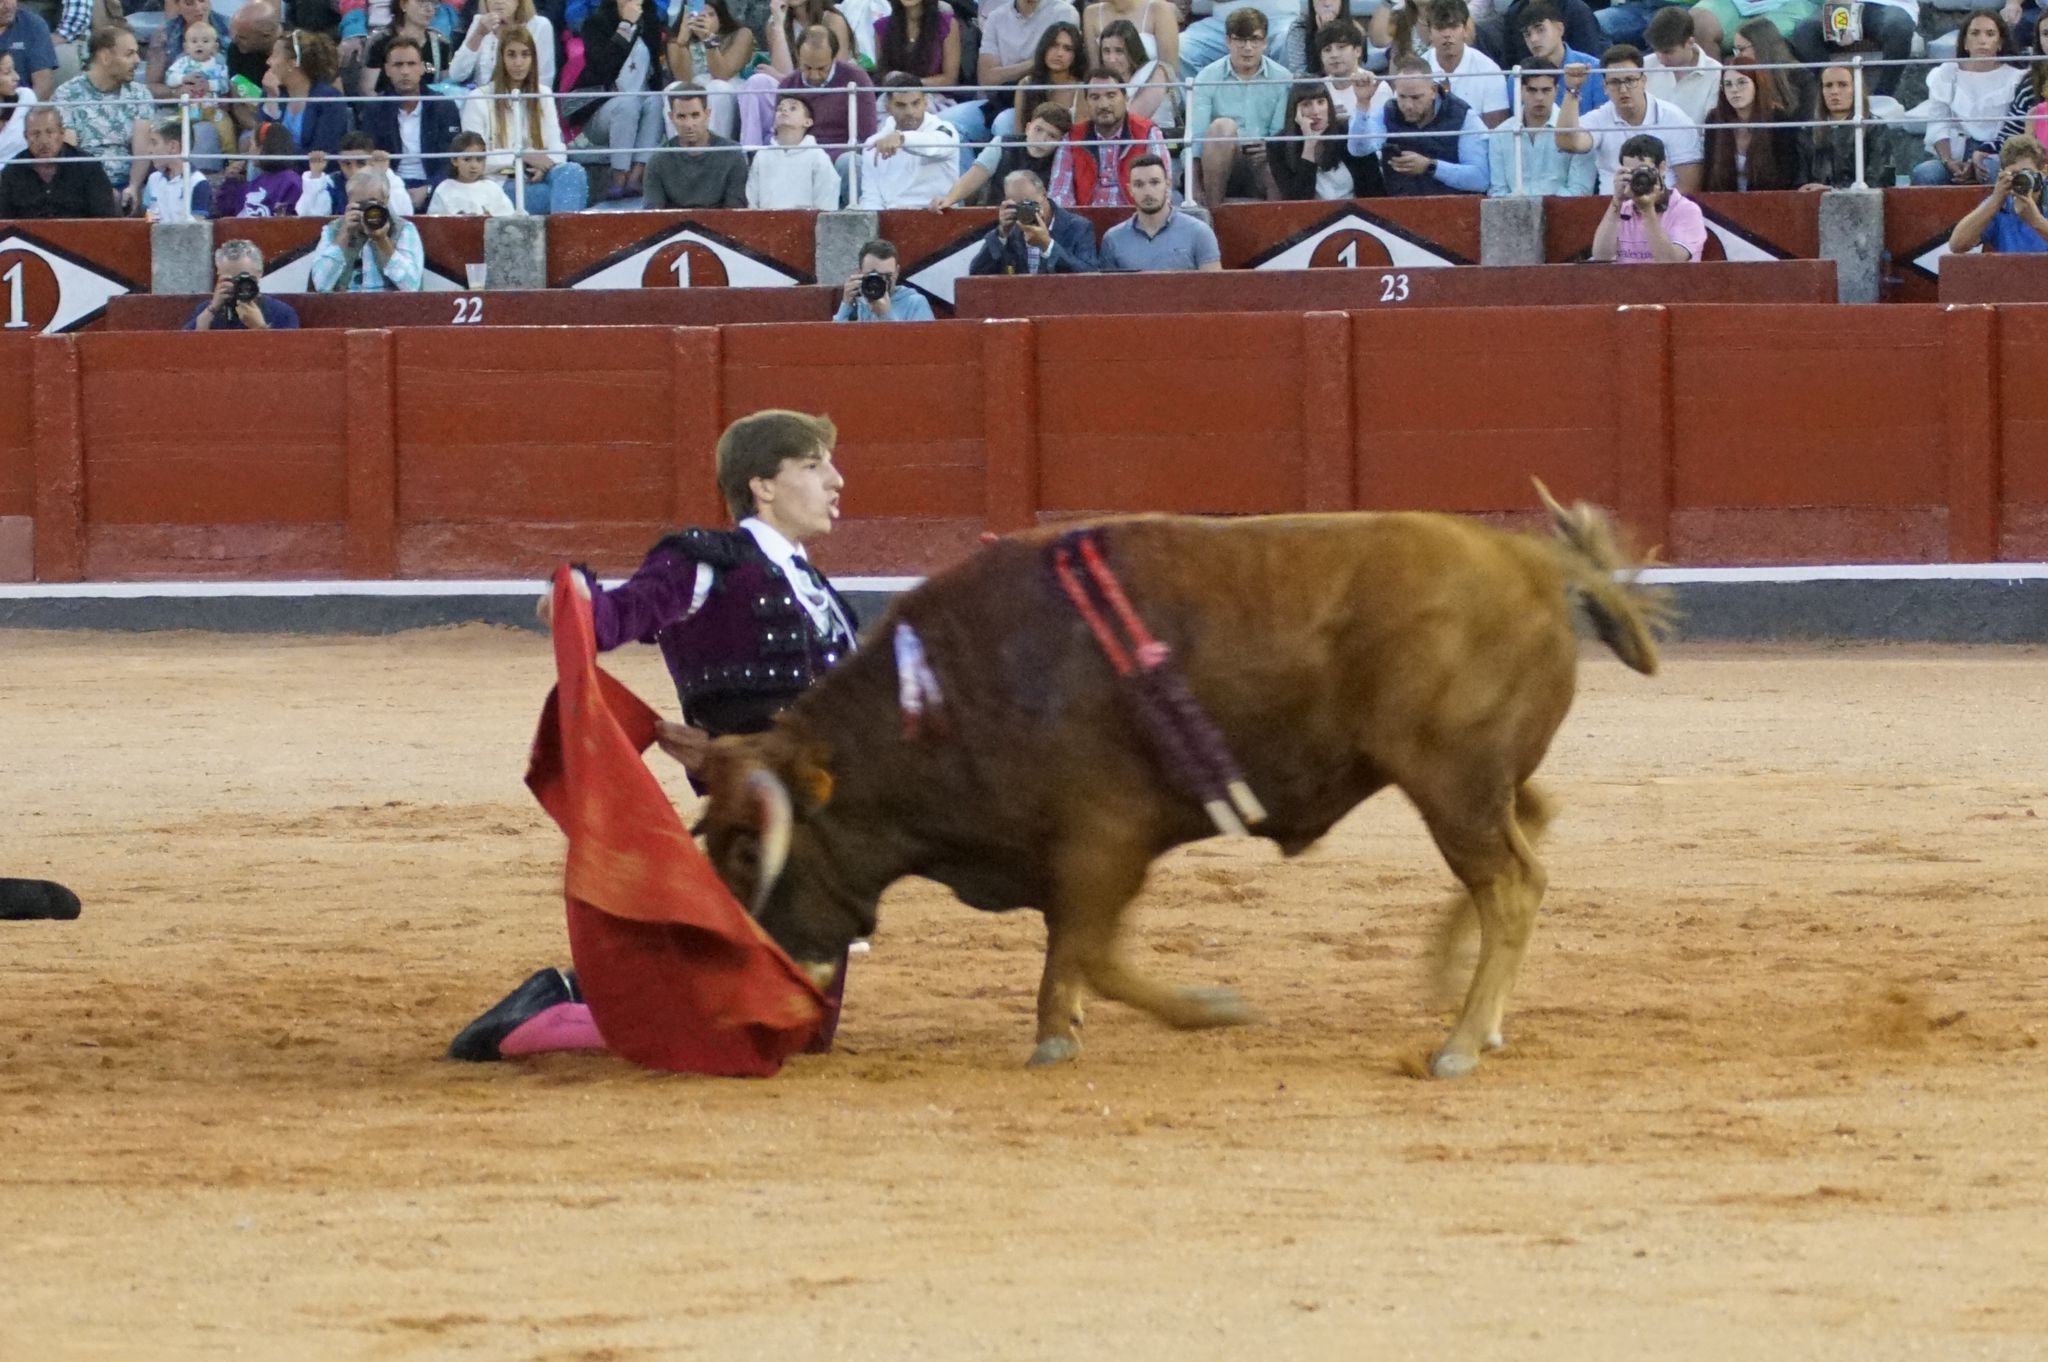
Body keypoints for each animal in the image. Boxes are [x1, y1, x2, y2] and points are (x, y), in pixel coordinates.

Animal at [696, 489, 1671, 1073]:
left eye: (750, 851)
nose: (758, 977)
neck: (951, 691)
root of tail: (1533, 562)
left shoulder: (1102, 839)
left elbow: (1090, 949)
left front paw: (1207, 1009)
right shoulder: (1077, 854)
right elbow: (1072, 950)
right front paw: (1059, 1032)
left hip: (1451, 781)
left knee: (1511, 881)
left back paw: (1459, 1043)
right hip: (1474, 779)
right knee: (1532, 827)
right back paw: (1470, 1005)